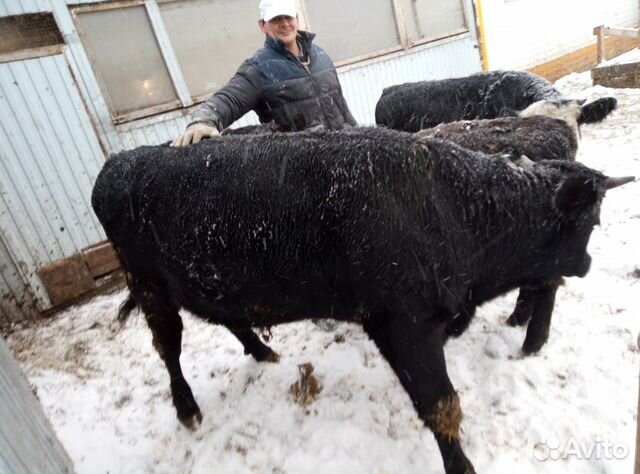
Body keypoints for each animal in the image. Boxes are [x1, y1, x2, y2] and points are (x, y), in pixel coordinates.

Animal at [92, 127, 632, 474]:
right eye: (588, 222)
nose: (585, 264)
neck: (453, 206)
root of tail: (119, 164)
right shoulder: (404, 325)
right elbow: (442, 405)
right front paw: (462, 466)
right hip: (151, 290)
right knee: (169, 349)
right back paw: (187, 409)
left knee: (231, 319)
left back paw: (264, 353)